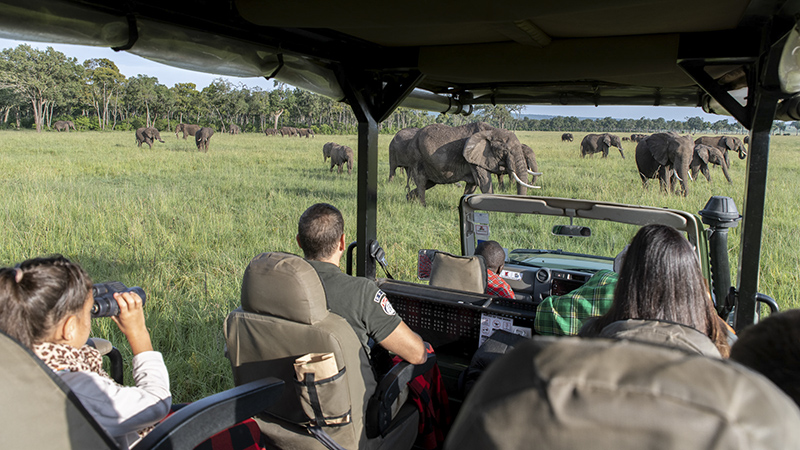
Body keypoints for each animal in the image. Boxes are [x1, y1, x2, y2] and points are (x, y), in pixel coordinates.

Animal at [406, 123, 536, 207]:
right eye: (505, 150)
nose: (517, 216)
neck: (491, 130)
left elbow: (473, 184)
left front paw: (462, 207)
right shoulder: (473, 157)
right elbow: (483, 181)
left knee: (429, 183)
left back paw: (408, 198)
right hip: (417, 156)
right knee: (422, 182)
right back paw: (423, 206)